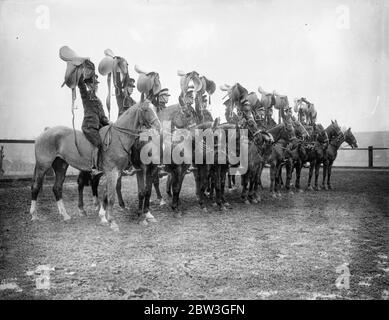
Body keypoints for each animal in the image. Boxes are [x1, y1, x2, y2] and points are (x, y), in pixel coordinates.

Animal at [29, 100, 161, 225]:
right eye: (145, 110)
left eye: (155, 108)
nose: (158, 126)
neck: (118, 138)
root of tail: (46, 132)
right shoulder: (114, 172)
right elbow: (112, 195)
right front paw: (109, 219)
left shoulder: (115, 172)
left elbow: (107, 193)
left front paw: (104, 216)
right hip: (43, 166)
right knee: (36, 187)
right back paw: (34, 215)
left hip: (61, 165)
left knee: (57, 188)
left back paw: (65, 215)